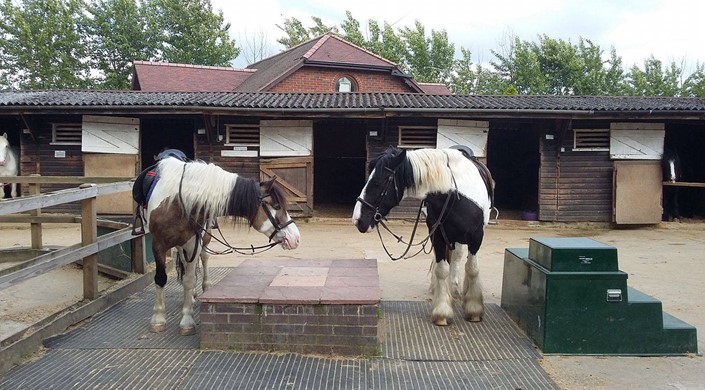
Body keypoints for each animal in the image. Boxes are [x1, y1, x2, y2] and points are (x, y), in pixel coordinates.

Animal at [138, 157, 300, 334]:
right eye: (277, 206)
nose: (296, 238)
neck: (176, 203)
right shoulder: (158, 244)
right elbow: (161, 278)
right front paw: (158, 318)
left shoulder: (193, 243)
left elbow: (189, 280)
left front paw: (186, 320)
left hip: (204, 236)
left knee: (204, 257)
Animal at [352, 146, 496, 326]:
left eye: (378, 182)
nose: (358, 220)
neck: (456, 196)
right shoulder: (438, 235)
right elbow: (441, 269)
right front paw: (442, 311)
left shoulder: (476, 237)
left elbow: (472, 268)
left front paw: (474, 309)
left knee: (459, 258)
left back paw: (458, 289)